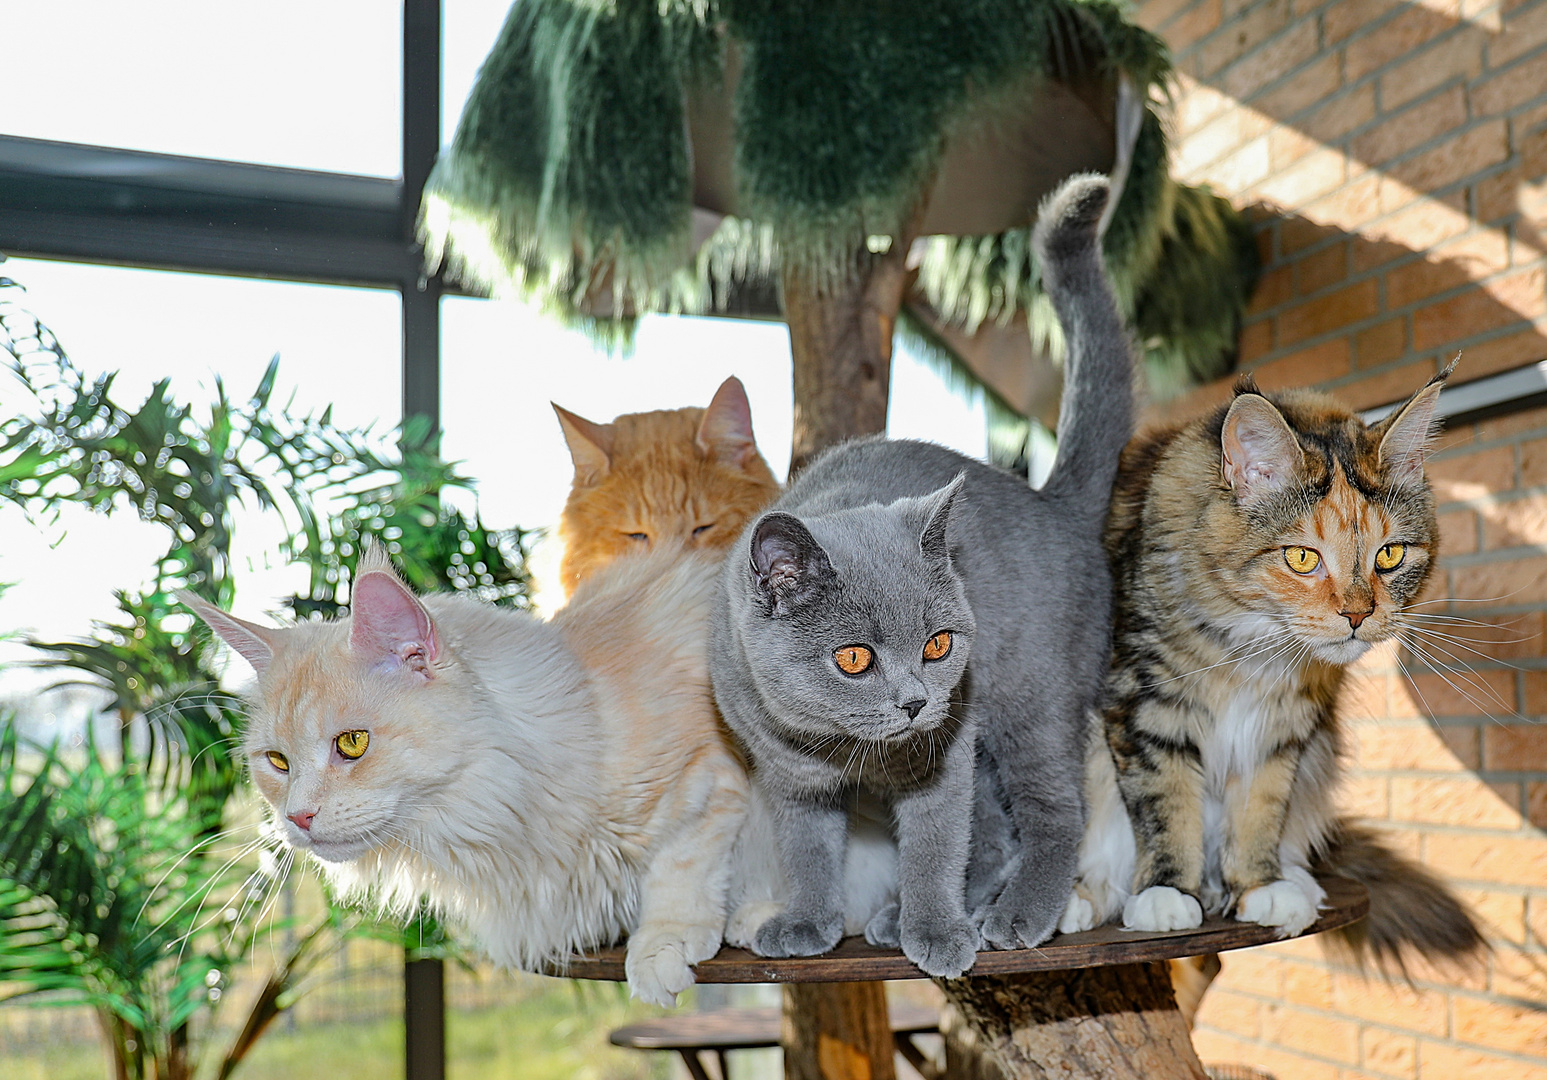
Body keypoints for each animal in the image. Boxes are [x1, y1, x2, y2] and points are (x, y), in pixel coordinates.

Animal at [180, 541, 748, 1002]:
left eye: (352, 743)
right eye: (277, 762)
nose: (296, 817)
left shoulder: (707, 774)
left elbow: (682, 865)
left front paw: (661, 945)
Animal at [711, 172, 1138, 971]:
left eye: (938, 645)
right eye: (853, 658)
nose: (915, 701)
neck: (843, 746)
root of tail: (1051, 502)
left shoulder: (945, 760)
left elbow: (936, 846)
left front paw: (937, 930)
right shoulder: (789, 779)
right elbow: (808, 850)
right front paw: (808, 923)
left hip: (1028, 701)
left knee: (1053, 811)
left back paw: (1015, 914)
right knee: (996, 831)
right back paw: (911, 915)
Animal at [1064, 366, 1485, 965]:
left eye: (1389, 555)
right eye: (1302, 557)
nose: (1358, 615)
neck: (1255, 650)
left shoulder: (1283, 728)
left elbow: (1260, 810)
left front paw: (1259, 885)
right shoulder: (1147, 705)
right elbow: (1166, 804)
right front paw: (1166, 893)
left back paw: (1289, 884)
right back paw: (1077, 900)